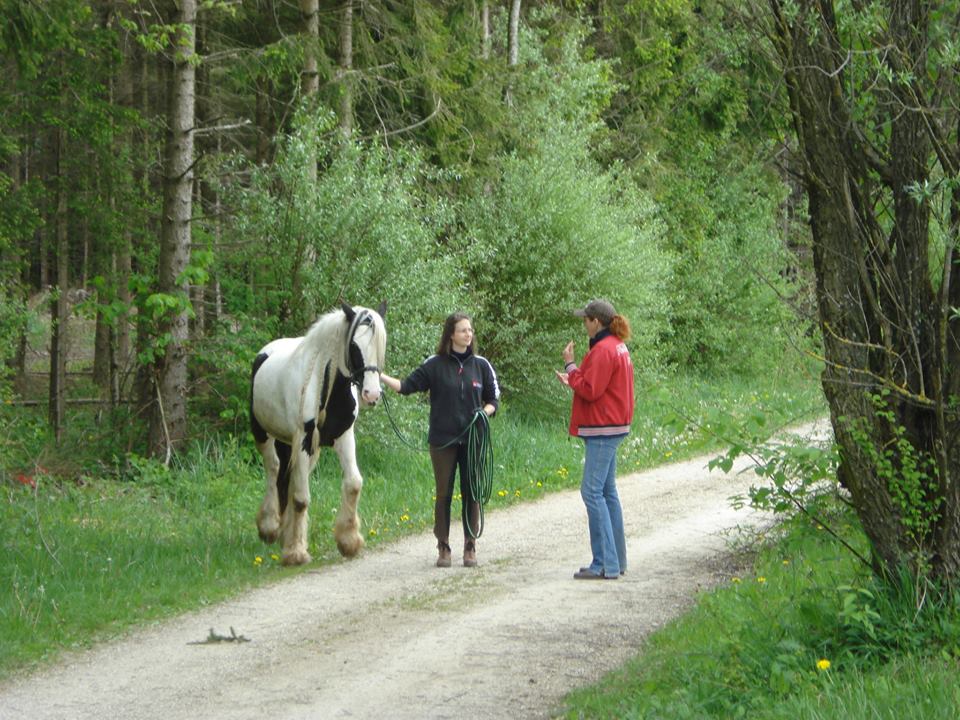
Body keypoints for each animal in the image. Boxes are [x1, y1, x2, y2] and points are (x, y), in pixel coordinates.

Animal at [249, 300, 388, 564]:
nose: (372, 395)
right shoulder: (302, 438)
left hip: (298, 446)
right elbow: (301, 498)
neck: (327, 386)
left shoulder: (343, 437)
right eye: (354, 346)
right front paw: (295, 552)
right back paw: (269, 526)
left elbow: (353, 483)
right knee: (273, 468)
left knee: (287, 478)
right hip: (264, 434)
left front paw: (348, 541)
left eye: (380, 344)